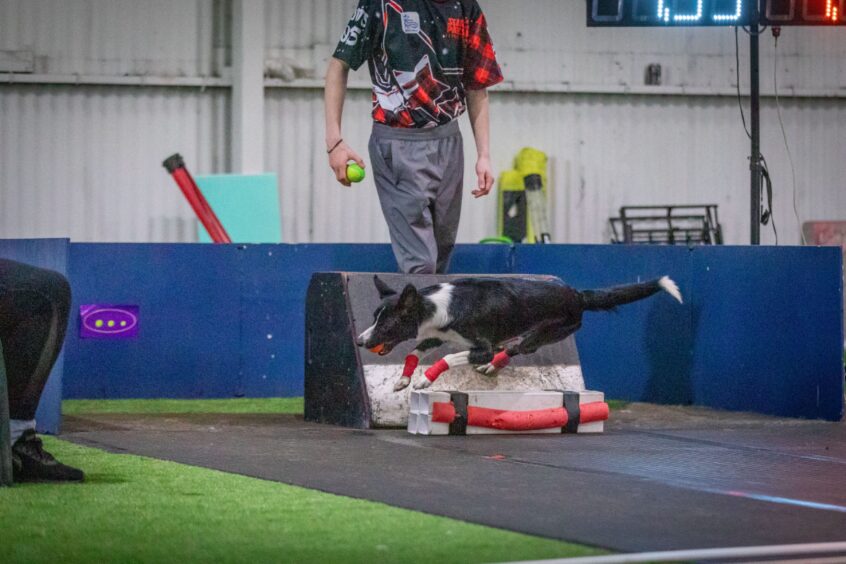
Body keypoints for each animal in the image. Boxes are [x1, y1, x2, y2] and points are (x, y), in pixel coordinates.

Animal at [356, 274, 684, 390]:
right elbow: (413, 352)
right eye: (374, 318)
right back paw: (490, 367)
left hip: (545, 332)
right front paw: (403, 378)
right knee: (512, 350)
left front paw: (425, 379)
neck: (435, 304)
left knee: (518, 348)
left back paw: (490, 365)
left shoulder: (480, 345)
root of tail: (578, 295)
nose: (360, 341)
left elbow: (448, 359)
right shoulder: (438, 335)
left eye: (386, 324)